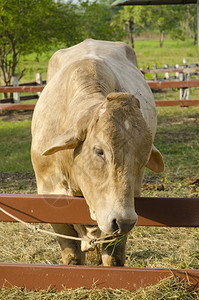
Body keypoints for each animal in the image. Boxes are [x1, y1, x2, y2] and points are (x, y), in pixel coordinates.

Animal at [31, 38, 164, 266]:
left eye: (143, 158)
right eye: (99, 151)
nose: (123, 220)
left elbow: (113, 257)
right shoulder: (50, 196)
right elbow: (72, 256)